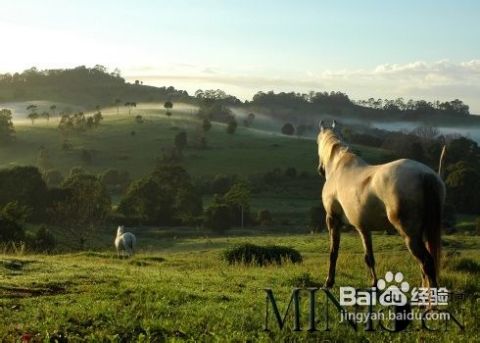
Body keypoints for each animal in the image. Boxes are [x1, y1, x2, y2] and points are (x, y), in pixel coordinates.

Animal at [316, 121, 444, 290]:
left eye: (317, 142)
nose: (320, 170)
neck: (339, 168)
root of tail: (425, 175)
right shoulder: (363, 227)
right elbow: (369, 257)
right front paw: (374, 284)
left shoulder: (332, 219)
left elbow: (333, 253)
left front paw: (328, 282)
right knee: (426, 264)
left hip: (410, 235)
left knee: (426, 262)